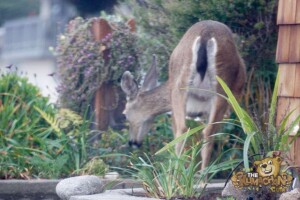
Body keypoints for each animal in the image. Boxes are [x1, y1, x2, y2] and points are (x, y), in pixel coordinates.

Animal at [120, 19, 246, 170]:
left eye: (125, 114)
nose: (132, 142)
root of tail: (206, 36)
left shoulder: (174, 109)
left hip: (181, 87)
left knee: (182, 130)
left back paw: (175, 174)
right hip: (222, 91)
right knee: (210, 133)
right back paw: (203, 174)